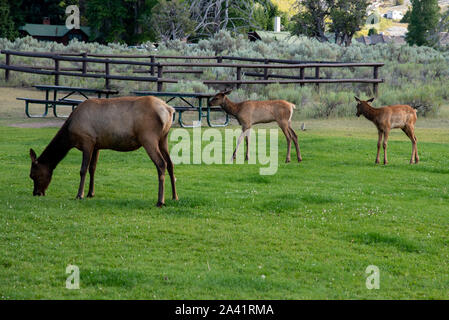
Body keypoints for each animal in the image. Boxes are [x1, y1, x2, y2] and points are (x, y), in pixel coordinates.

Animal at [27, 97, 178, 208]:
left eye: (33, 175)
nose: (36, 193)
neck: (70, 136)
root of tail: (169, 110)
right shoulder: (96, 145)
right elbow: (92, 168)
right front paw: (90, 193)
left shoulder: (87, 140)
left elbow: (83, 169)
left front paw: (79, 195)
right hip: (163, 138)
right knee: (170, 164)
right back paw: (174, 197)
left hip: (148, 137)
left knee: (161, 164)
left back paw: (160, 201)